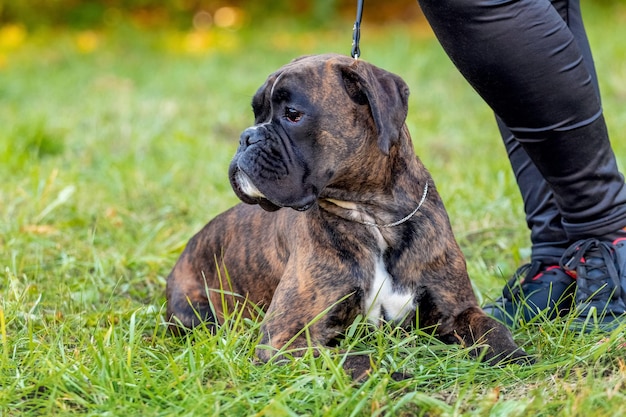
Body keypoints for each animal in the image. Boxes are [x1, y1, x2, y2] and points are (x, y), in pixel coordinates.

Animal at [165, 52, 528, 376]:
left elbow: (492, 329)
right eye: (256, 114)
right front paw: (392, 377)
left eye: (293, 114)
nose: (246, 136)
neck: (374, 217)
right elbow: (351, 359)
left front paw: (514, 356)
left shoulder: (458, 310)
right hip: (197, 313)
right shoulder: (285, 338)